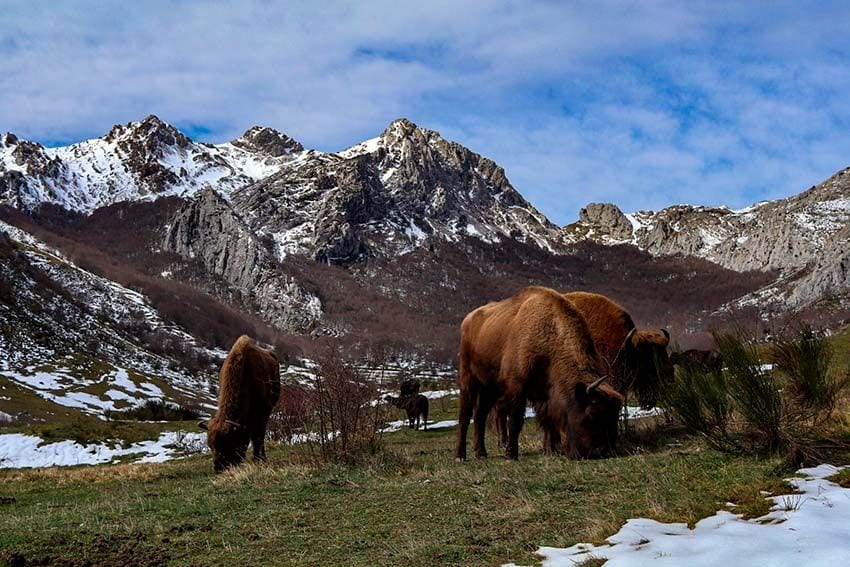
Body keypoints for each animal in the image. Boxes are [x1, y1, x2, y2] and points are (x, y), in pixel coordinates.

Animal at [197, 336, 280, 472]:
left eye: (228, 444)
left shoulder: (263, 413)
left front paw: (259, 459)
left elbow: (258, 437)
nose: (219, 468)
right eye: (210, 446)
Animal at [458, 288, 624, 462]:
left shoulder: (545, 395)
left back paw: (481, 453)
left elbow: (548, 422)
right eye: (592, 413)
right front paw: (511, 454)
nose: (603, 451)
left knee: (480, 416)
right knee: (465, 416)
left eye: (614, 415)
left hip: (489, 388)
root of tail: (468, 320)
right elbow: (516, 421)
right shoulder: (517, 388)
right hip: (468, 380)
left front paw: (550, 451)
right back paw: (460, 455)